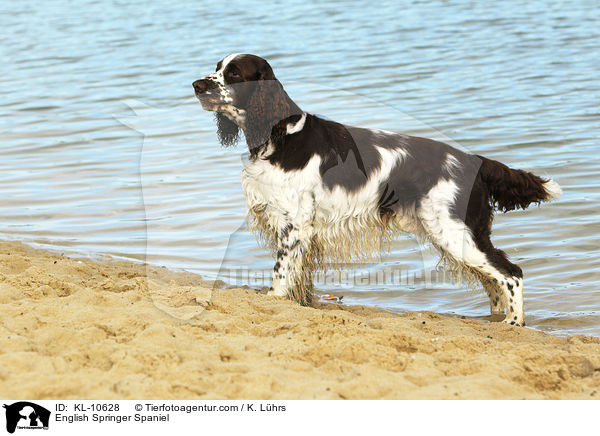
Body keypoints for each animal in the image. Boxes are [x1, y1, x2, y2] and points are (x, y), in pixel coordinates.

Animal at [193, 52, 564, 326]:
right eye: (217, 67)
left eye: (234, 74)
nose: (197, 84)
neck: (280, 135)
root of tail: (477, 161)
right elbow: (299, 277)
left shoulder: (294, 225)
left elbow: (282, 274)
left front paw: (276, 300)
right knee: (494, 281)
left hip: (456, 232)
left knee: (511, 274)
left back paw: (513, 324)